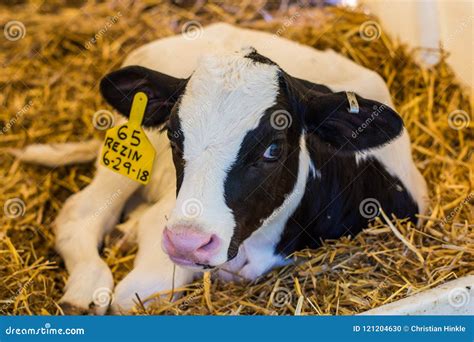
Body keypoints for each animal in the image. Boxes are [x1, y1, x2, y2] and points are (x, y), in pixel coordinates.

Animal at [14, 22, 428, 314]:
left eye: (273, 149)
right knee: (79, 211)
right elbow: (133, 297)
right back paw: (86, 288)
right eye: (174, 136)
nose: (187, 241)